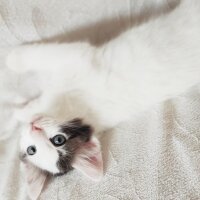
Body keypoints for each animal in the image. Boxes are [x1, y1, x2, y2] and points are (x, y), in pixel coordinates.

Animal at [5, 0, 200, 199]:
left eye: (58, 140)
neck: (71, 106)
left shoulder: (78, 59)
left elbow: (38, 56)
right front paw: (20, 111)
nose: (34, 127)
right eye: (32, 150)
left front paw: (11, 57)